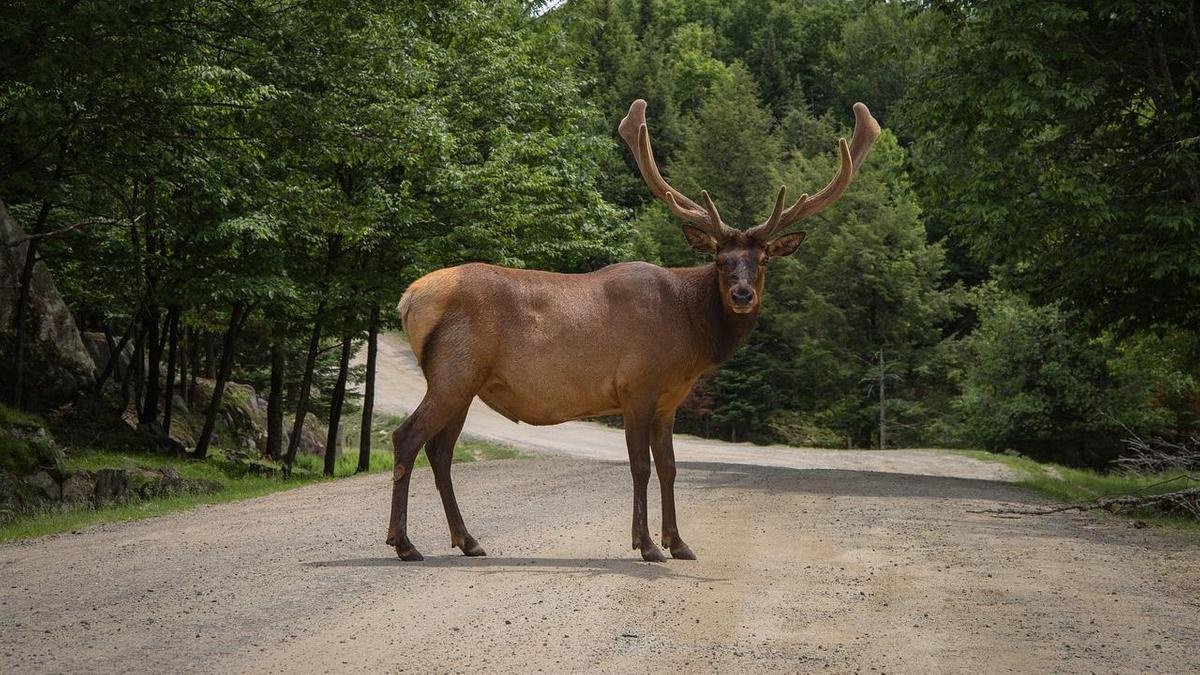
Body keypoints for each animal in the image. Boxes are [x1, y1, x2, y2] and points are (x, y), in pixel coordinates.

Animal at [386, 97, 883, 559]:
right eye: (720, 260)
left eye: (761, 261)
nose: (743, 295)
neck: (691, 336)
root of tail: (409, 298)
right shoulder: (635, 385)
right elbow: (640, 466)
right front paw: (646, 544)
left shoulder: (669, 400)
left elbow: (669, 466)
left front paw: (679, 542)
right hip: (453, 372)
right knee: (407, 437)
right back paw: (404, 542)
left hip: (464, 382)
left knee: (441, 451)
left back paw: (467, 540)